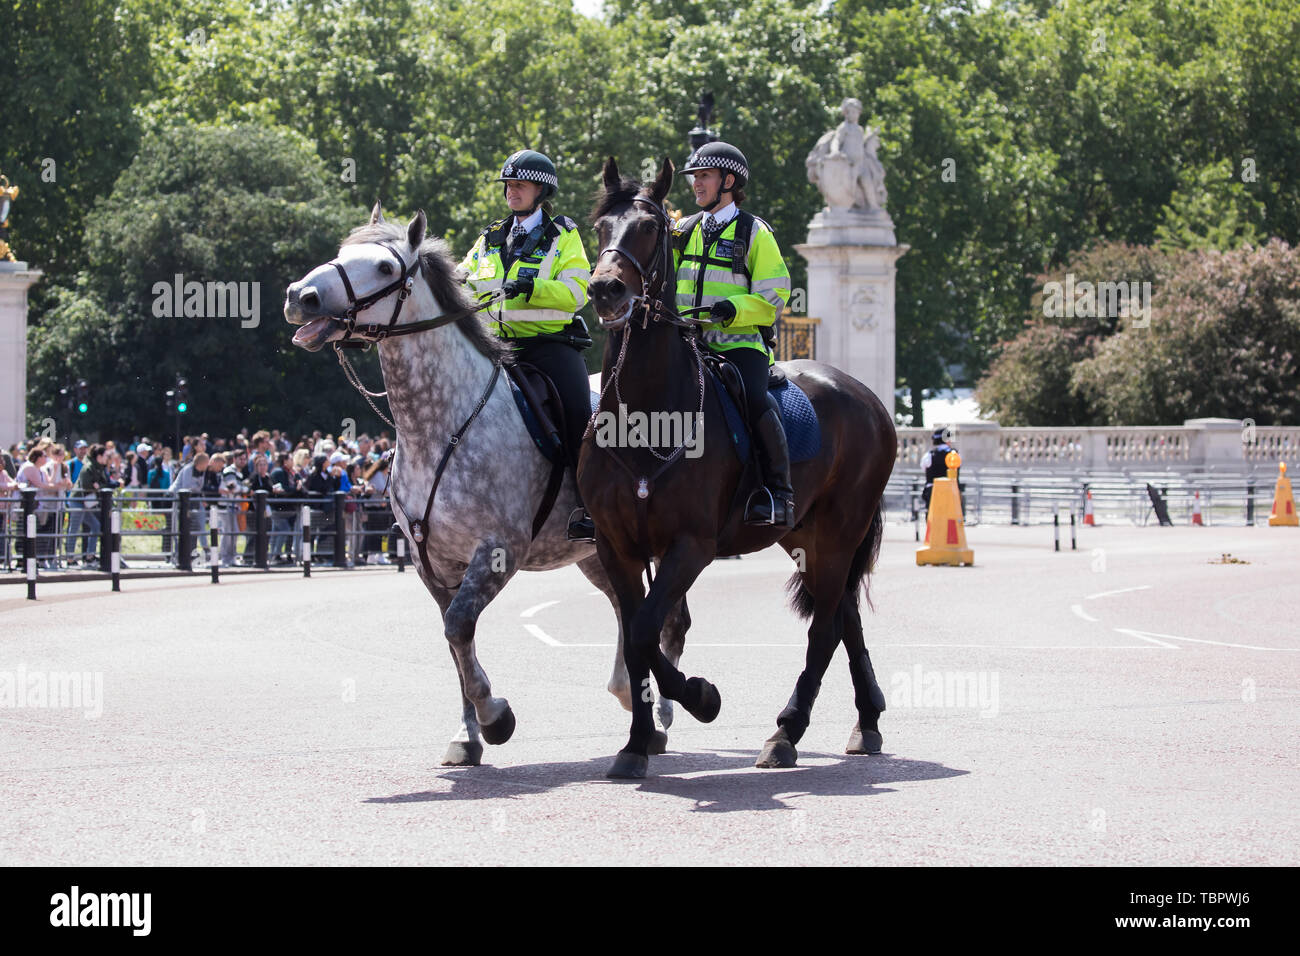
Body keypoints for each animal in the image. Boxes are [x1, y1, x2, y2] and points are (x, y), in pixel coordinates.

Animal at [286, 205, 691, 764]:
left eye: (386, 268)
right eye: (343, 253)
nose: (299, 296)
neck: (442, 424)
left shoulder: (499, 550)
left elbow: (459, 626)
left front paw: (495, 717)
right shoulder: (430, 562)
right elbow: (455, 639)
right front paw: (467, 733)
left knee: (668, 618)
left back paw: (661, 714)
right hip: (594, 553)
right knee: (624, 610)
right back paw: (631, 695)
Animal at [579, 160, 894, 780]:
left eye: (651, 228)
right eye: (601, 225)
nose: (606, 289)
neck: (647, 414)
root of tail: (864, 393)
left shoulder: (691, 545)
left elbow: (648, 631)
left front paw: (700, 697)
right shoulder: (615, 544)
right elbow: (636, 634)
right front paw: (636, 742)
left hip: (840, 530)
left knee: (824, 628)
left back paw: (786, 732)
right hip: (807, 536)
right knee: (844, 616)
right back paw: (866, 719)